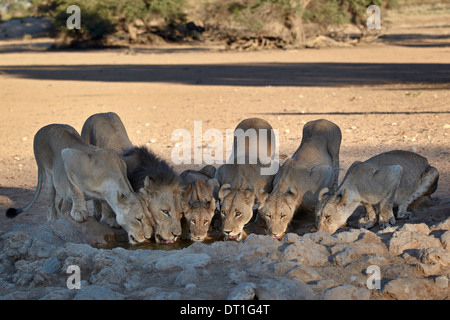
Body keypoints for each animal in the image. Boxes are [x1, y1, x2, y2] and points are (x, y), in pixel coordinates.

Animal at [5, 124, 152, 244]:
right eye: (138, 219)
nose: (147, 237)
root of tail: (42, 129)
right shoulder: (69, 157)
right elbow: (76, 190)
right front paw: (79, 213)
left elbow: (106, 203)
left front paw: (109, 219)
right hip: (46, 174)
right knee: (51, 206)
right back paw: (53, 221)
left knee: (63, 205)